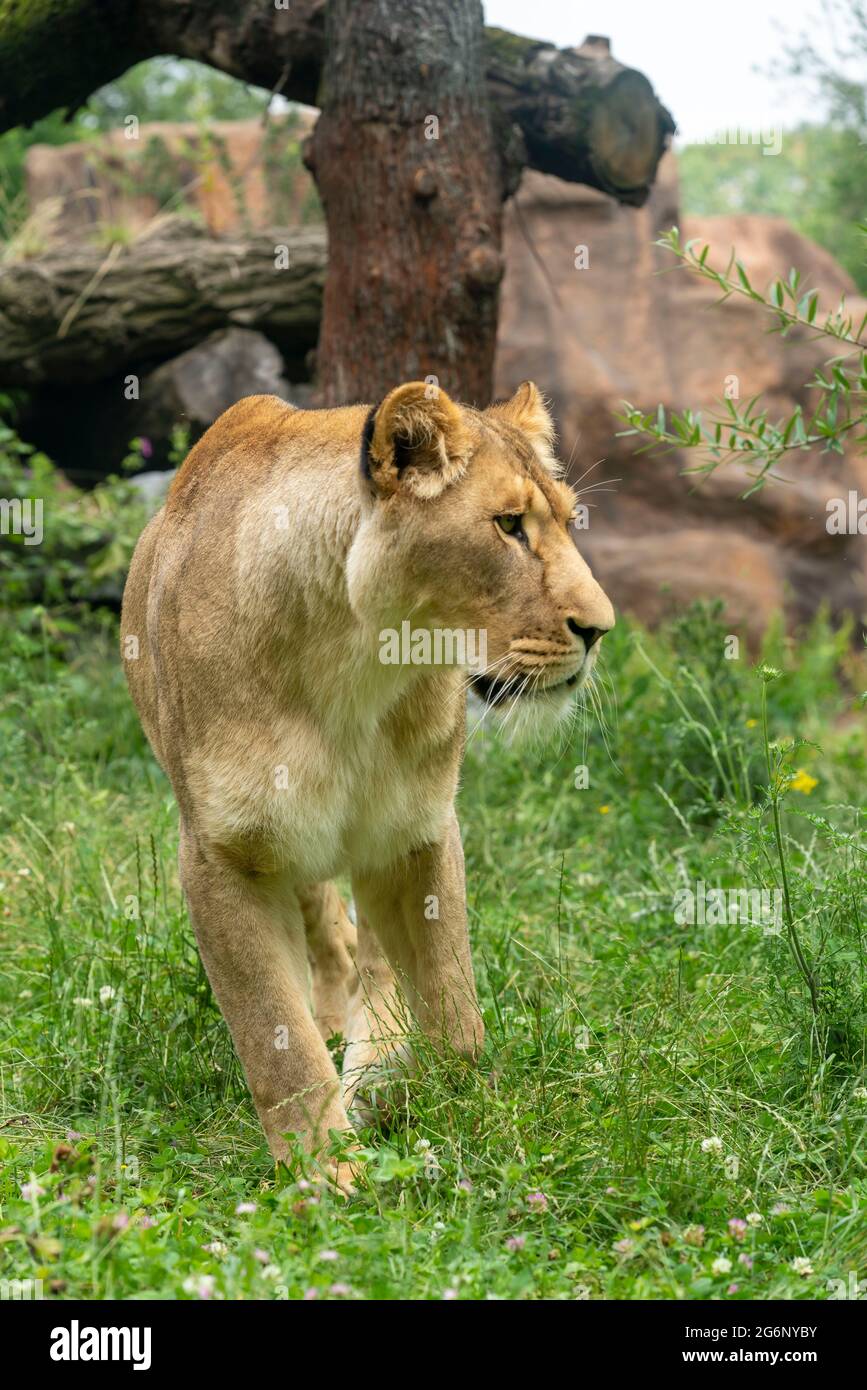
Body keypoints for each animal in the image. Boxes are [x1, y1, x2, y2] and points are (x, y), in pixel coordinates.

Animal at [121, 381, 614, 1188]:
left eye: (570, 523)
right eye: (508, 525)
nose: (600, 629)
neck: (353, 663)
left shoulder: (419, 832)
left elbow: (452, 1006)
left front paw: (464, 1114)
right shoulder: (221, 858)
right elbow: (277, 1037)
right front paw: (326, 1176)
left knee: (373, 960)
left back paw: (379, 1070)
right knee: (327, 935)